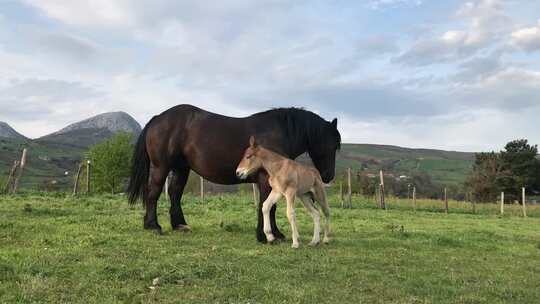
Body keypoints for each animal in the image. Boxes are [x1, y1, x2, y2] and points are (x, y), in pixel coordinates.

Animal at [125, 104, 342, 242]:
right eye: (333, 144)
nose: (327, 176)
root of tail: (157, 119)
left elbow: (269, 207)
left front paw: (274, 234)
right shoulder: (265, 181)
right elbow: (267, 206)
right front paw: (266, 235)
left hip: (181, 169)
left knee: (174, 194)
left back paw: (180, 225)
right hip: (161, 167)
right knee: (153, 193)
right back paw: (153, 226)